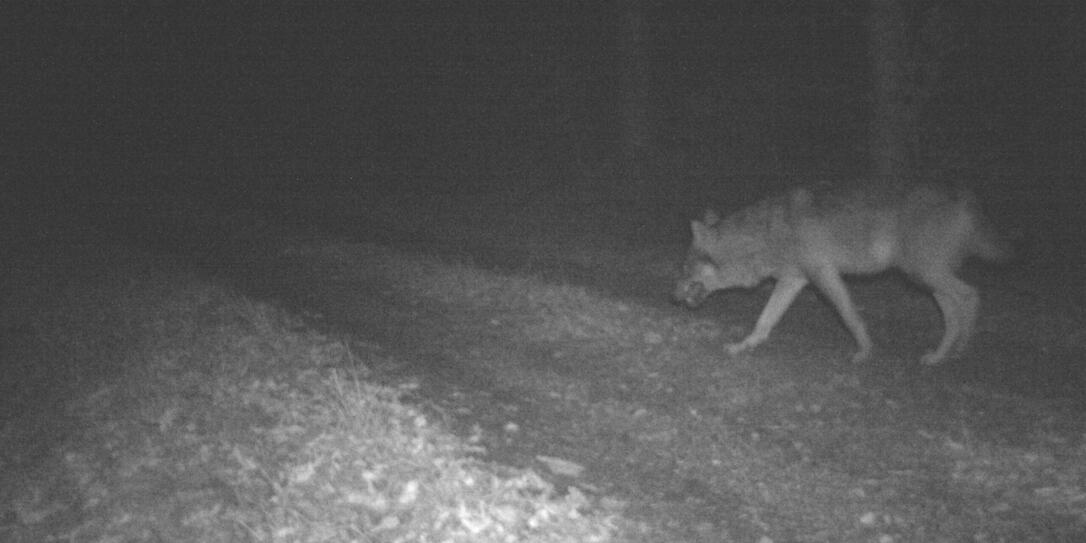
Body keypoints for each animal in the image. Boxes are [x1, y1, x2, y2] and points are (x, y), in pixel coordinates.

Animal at [673, 184, 1009, 365]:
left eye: (685, 268)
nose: (672, 295)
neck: (766, 234)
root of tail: (965, 198)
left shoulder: (824, 275)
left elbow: (850, 316)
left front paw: (865, 352)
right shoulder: (793, 280)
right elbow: (764, 322)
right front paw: (743, 346)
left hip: (923, 274)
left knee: (971, 295)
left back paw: (959, 349)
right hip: (925, 279)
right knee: (953, 310)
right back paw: (940, 356)